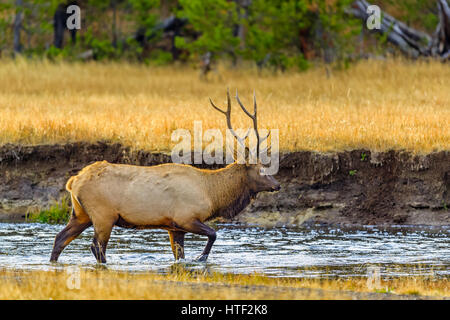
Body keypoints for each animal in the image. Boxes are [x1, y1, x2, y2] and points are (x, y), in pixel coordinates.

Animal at [50, 89, 282, 262]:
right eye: (262, 169)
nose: (278, 185)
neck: (212, 194)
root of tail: (73, 181)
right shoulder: (186, 217)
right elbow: (213, 234)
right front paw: (201, 257)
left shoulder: (174, 227)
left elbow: (180, 256)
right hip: (103, 214)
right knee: (96, 247)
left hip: (80, 213)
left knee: (60, 239)